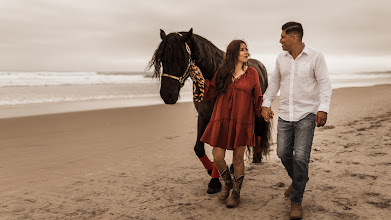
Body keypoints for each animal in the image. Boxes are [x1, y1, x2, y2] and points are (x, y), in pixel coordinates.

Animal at [149, 27, 272, 194]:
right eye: (162, 59)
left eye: (181, 58)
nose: (167, 95)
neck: (214, 74)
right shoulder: (204, 116)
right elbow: (199, 149)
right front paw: (212, 172)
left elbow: (216, 149)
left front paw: (214, 182)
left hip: (257, 112)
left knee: (258, 131)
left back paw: (256, 158)